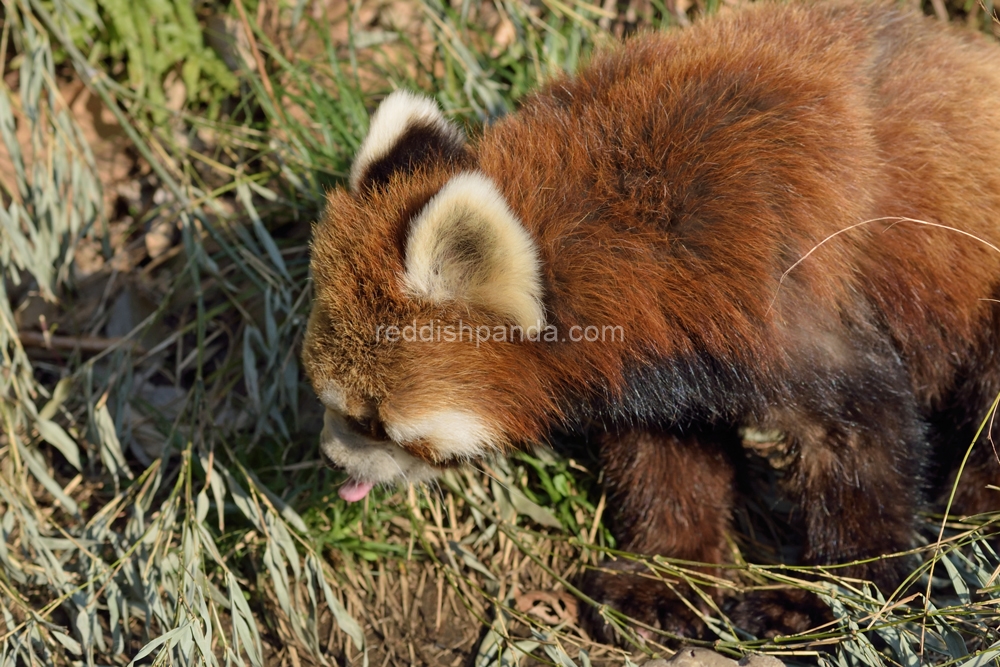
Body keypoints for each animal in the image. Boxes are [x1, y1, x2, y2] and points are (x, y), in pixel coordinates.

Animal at [300, 1, 1000, 640]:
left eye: (373, 421)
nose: (331, 460)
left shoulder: (784, 288)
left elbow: (860, 440)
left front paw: (827, 600)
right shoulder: (669, 348)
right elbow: (666, 457)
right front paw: (663, 581)